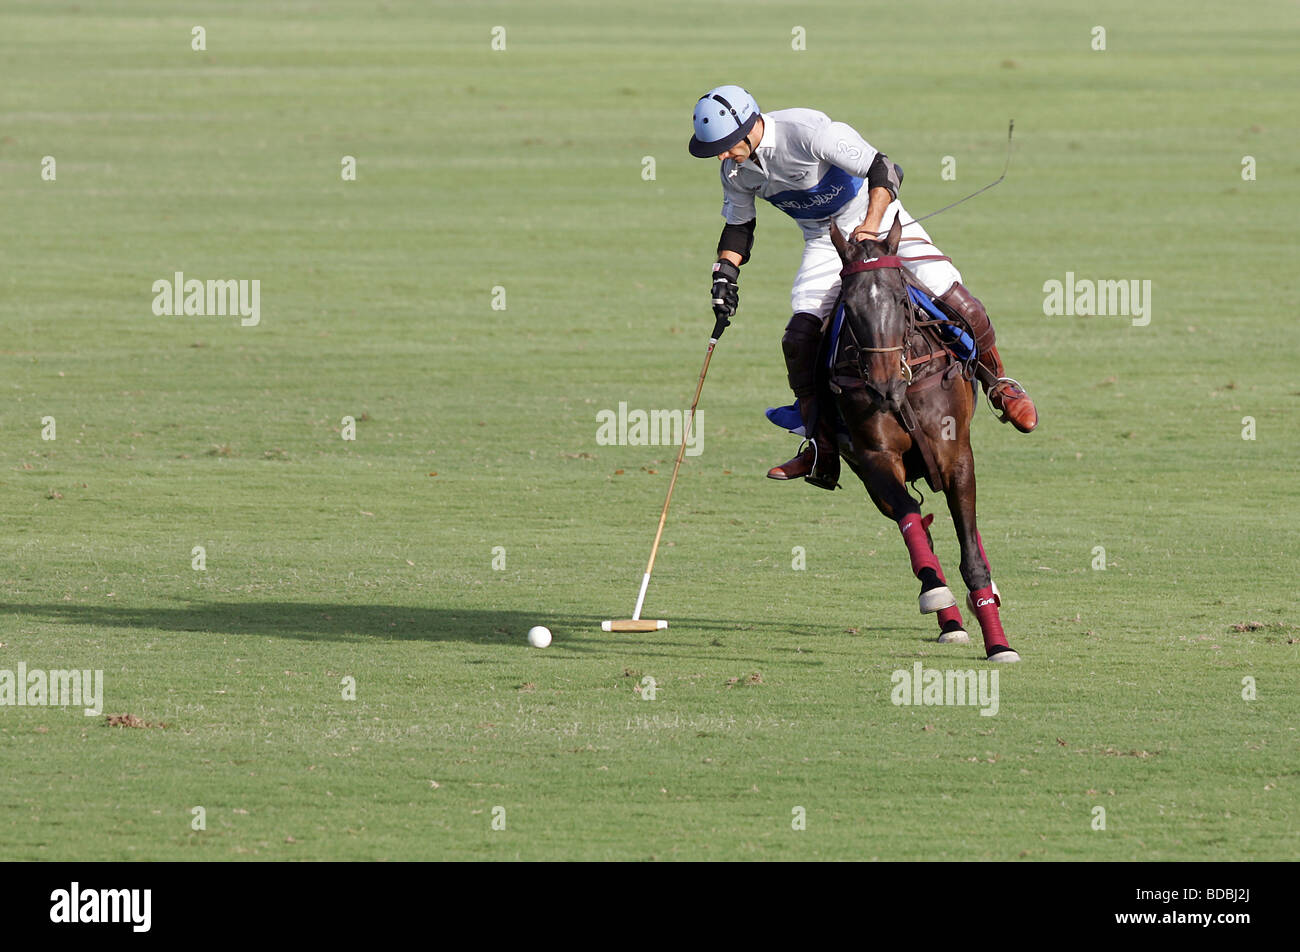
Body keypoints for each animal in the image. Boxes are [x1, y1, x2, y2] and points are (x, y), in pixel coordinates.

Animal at [821, 215, 1024, 660]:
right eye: (850, 307)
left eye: (900, 299)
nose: (884, 388)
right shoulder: (876, 458)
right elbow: (911, 520)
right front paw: (935, 593)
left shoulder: (956, 456)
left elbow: (970, 551)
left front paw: (999, 644)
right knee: (919, 527)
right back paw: (949, 619)